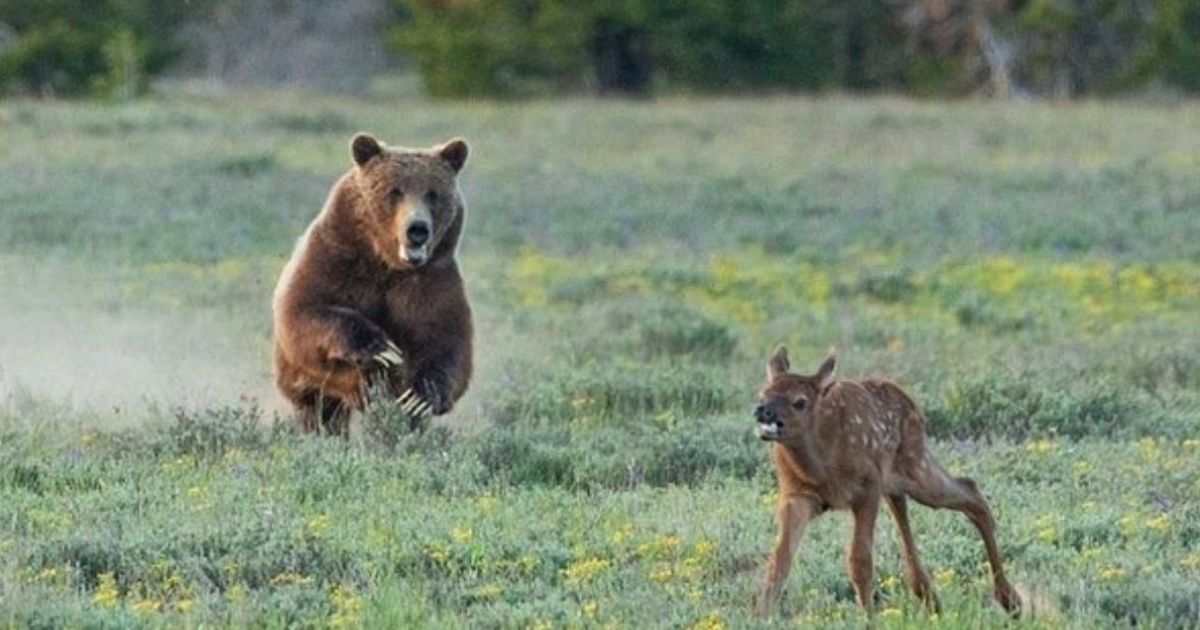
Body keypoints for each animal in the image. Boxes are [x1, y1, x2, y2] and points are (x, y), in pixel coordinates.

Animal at [272, 133, 472, 434]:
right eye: (395, 191)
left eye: (433, 193)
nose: (417, 229)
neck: (387, 263)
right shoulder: (335, 258)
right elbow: (303, 311)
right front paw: (381, 348)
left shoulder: (430, 280)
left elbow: (446, 338)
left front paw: (422, 396)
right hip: (303, 381)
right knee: (321, 411)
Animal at [753, 343, 1017, 614]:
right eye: (762, 394)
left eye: (800, 402)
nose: (764, 411)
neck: (820, 466)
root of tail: (912, 402)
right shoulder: (797, 495)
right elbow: (779, 560)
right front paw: (762, 615)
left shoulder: (866, 488)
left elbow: (860, 560)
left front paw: (869, 616)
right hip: (895, 479)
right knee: (911, 505)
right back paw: (931, 597)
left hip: (916, 466)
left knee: (969, 490)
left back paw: (1009, 599)